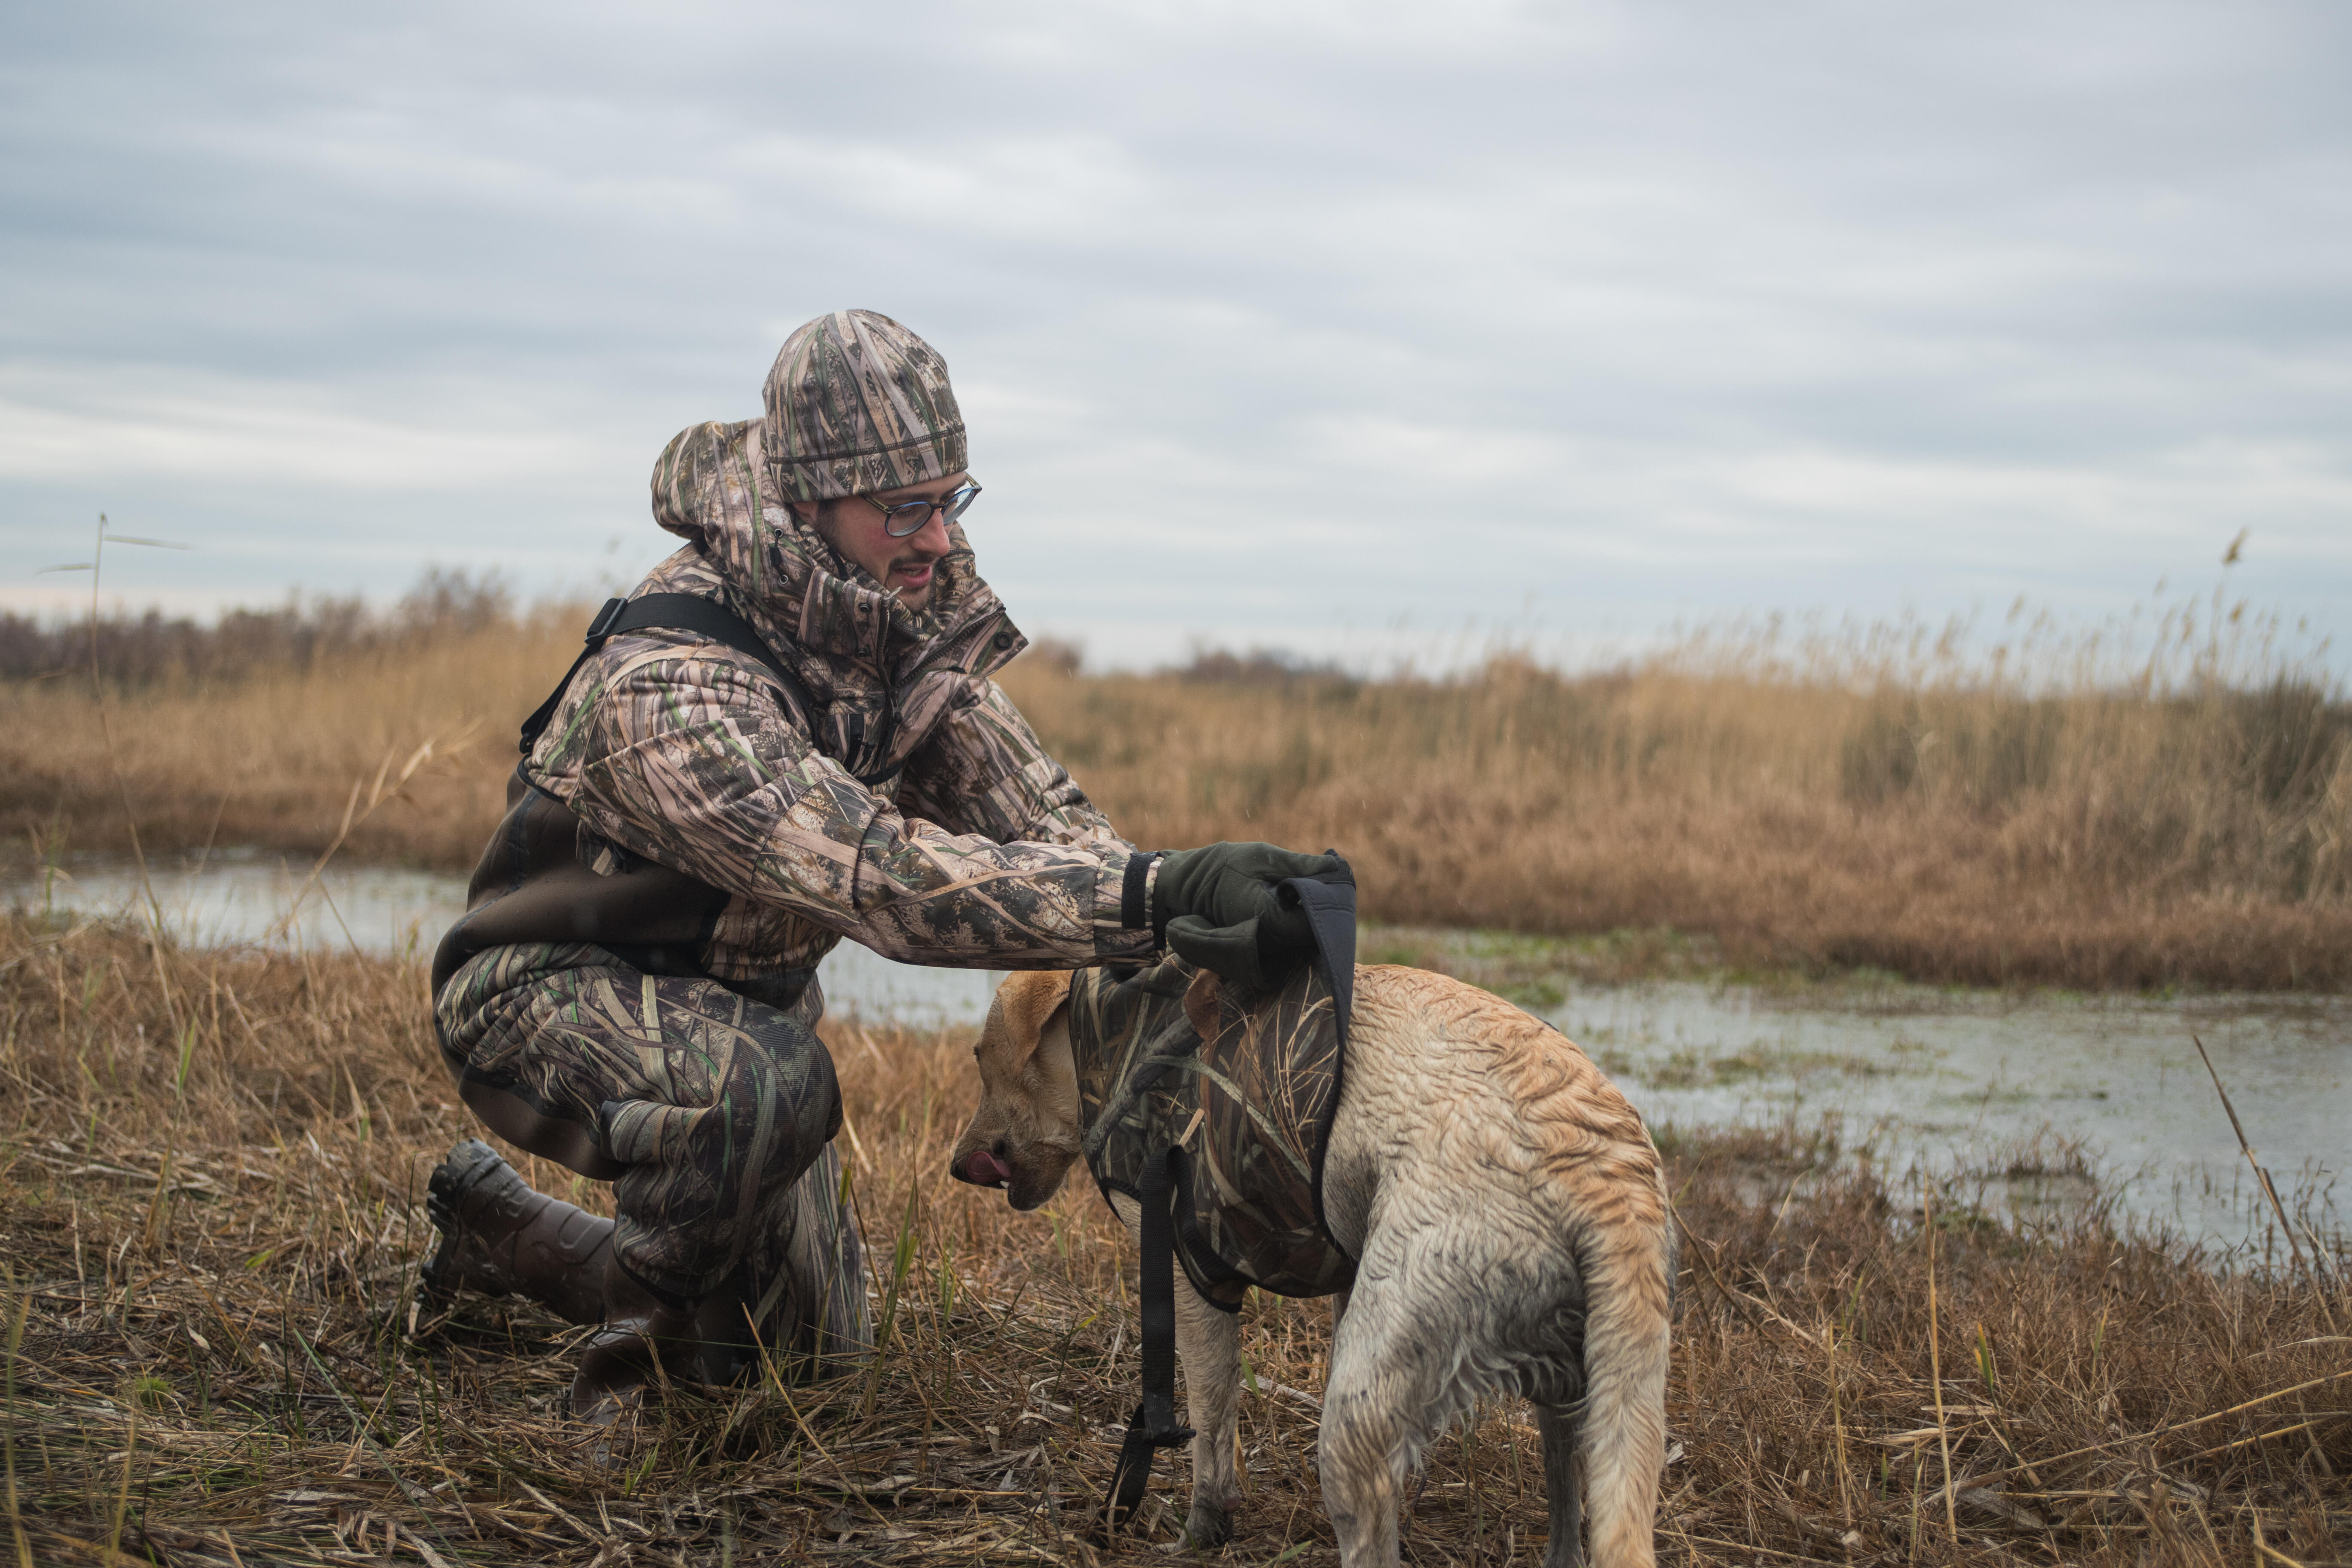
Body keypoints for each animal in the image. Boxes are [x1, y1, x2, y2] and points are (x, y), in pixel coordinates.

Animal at [950, 968, 1675, 1568]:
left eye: (983, 1060)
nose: (959, 1166)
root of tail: (1606, 1184)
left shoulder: (1192, 1278)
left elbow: (1211, 1425)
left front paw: (1203, 1531)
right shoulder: (1348, 1276)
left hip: (1362, 1411)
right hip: (1577, 1395)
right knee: (1572, 1523)